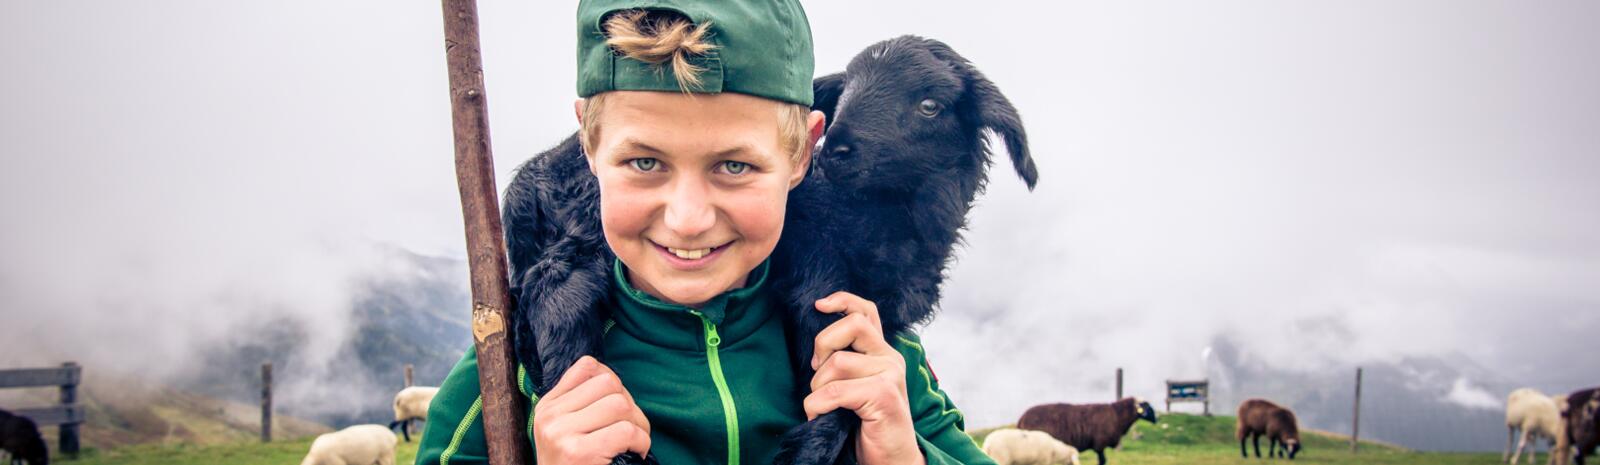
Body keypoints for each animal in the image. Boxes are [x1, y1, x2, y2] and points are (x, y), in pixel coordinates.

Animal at [505, 33, 1043, 465]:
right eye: (846, 90)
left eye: (930, 105)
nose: (838, 148)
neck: (876, 221)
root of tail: (530, 179)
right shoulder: (816, 274)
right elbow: (832, 402)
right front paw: (806, 452)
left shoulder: (879, 316)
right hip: (582, 237)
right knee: (555, 297)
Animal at [1017, 397, 1158, 465]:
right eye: (1147, 407)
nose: (1156, 420)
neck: (1117, 415)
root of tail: (1021, 418)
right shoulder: (1100, 444)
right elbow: (1102, 461)